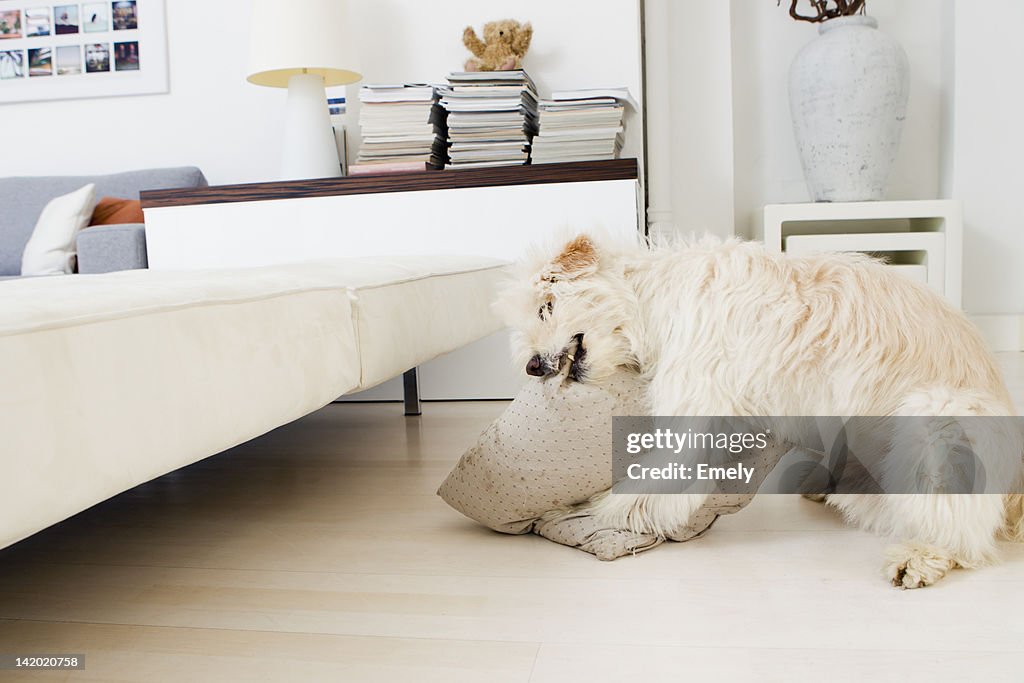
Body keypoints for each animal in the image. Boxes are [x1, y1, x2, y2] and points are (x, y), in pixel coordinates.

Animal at [497, 233, 1024, 589]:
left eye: (546, 306)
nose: (530, 366)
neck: (655, 298)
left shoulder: (694, 408)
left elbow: (642, 487)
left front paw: (588, 511)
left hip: (939, 422)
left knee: (961, 527)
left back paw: (921, 555)